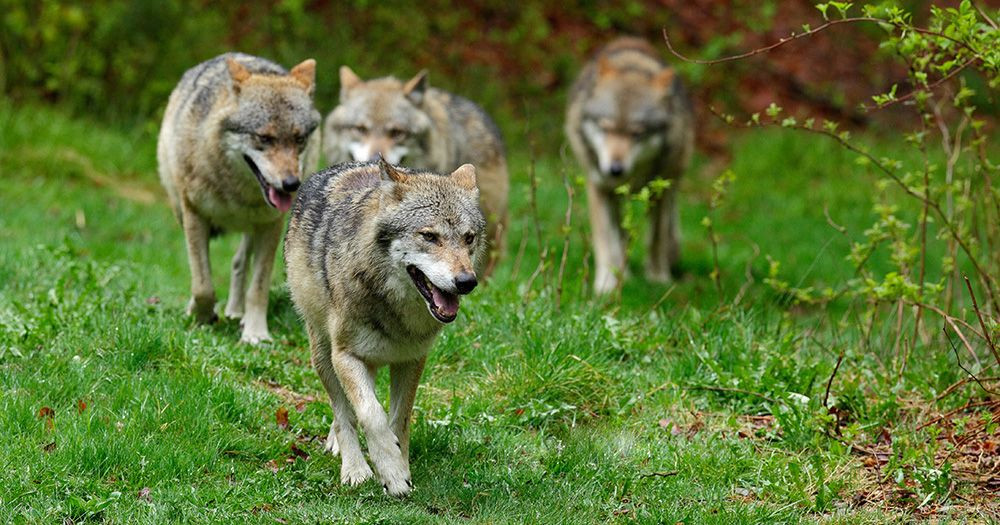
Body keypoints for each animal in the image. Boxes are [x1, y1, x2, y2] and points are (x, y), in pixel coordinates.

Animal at [158, 52, 320, 344]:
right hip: (180, 210)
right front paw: (202, 316)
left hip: (254, 228)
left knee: (238, 263)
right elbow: (202, 285)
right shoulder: (194, 215)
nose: (291, 184)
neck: (236, 193)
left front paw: (255, 333)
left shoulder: (271, 225)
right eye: (264, 138)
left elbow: (258, 288)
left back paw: (236, 313)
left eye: (299, 139)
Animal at [284, 156, 486, 496]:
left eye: (468, 237)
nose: (466, 282)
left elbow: (399, 419)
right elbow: (371, 414)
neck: (394, 310)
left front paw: (400, 465)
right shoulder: (346, 356)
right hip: (323, 354)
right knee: (342, 413)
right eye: (429, 236)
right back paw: (353, 468)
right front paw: (389, 472)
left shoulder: (412, 360)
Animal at [564, 36, 696, 294]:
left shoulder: (659, 191)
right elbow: (606, 239)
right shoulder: (599, 187)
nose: (615, 169)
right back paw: (623, 271)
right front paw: (606, 283)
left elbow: (656, 238)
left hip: (673, 177)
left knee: (668, 222)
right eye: (605, 127)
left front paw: (658, 278)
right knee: (620, 234)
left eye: (637, 134)